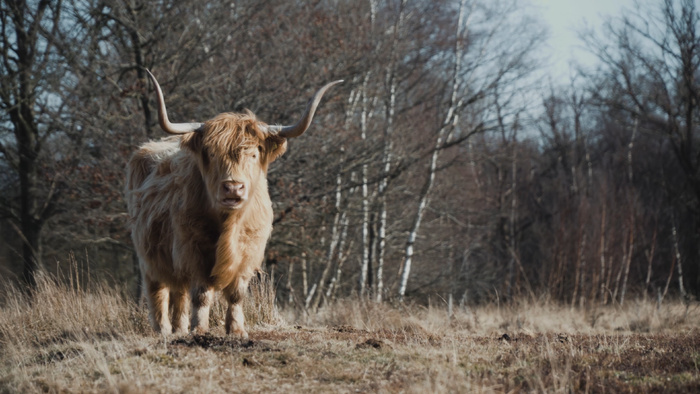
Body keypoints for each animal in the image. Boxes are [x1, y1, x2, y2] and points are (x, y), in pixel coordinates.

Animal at [128, 70, 342, 336]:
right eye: (211, 153)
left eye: (253, 154)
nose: (232, 187)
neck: (229, 223)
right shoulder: (193, 249)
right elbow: (201, 294)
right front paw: (200, 329)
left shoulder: (249, 250)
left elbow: (237, 294)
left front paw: (237, 330)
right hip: (148, 255)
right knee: (159, 290)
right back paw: (164, 330)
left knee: (179, 292)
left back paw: (179, 328)